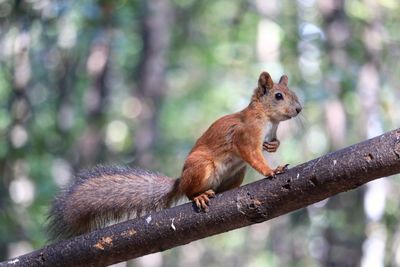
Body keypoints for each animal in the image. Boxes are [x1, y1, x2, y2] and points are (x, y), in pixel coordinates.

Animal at [47, 71, 302, 241]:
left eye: (293, 93)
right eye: (278, 96)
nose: (299, 109)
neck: (268, 119)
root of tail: (180, 180)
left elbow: (271, 144)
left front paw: (273, 146)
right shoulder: (245, 135)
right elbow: (252, 155)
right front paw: (271, 170)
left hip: (236, 173)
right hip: (202, 166)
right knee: (189, 192)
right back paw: (199, 196)